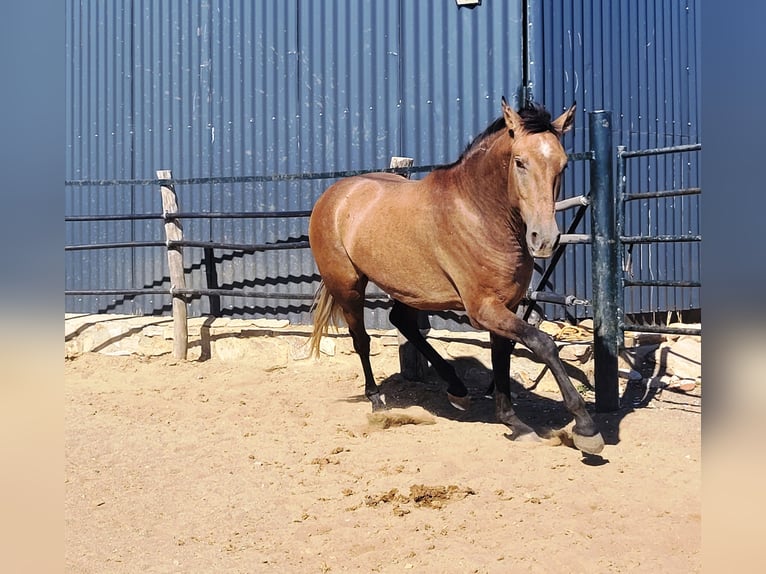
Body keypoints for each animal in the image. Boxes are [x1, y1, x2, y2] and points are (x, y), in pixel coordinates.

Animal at [308, 100, 608, 460]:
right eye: (520, 161)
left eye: (562, 164)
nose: (544, 239)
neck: (478, 214)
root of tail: (335, 194)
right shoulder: (483, 308)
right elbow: (544, 343)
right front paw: (586, 429)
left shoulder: (505, 306)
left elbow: (502, 358)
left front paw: (514, 423)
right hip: (349, 285)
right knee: (362, 340)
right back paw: (377, 401)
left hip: (409, 289)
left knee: (402, 322)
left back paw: (457, 389)